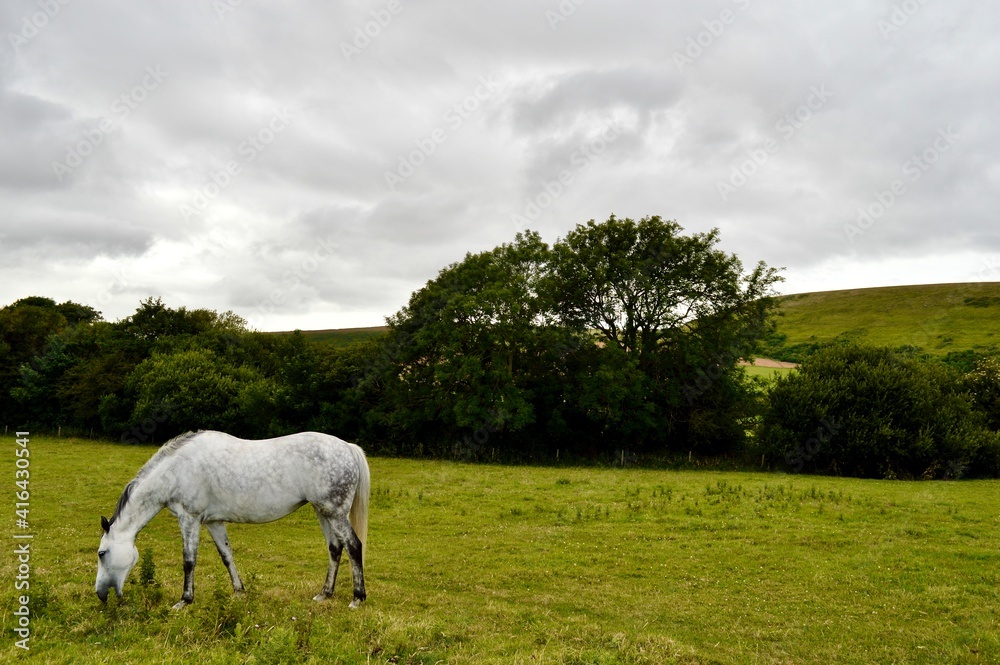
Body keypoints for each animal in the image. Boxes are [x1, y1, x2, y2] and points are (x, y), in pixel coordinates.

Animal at [95, 430, 370, 610]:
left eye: (101, 553)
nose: (100, 594)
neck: (176, 471)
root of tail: (347, 447)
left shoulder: (189, 519)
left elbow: (188, 561)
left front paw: (184, 600)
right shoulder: (212, 522)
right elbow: (227, 556)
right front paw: (239, 592)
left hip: (334, 513)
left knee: (353, 546)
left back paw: (357, 598)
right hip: (323, 512)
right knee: (335, 548)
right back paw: (325, 594)